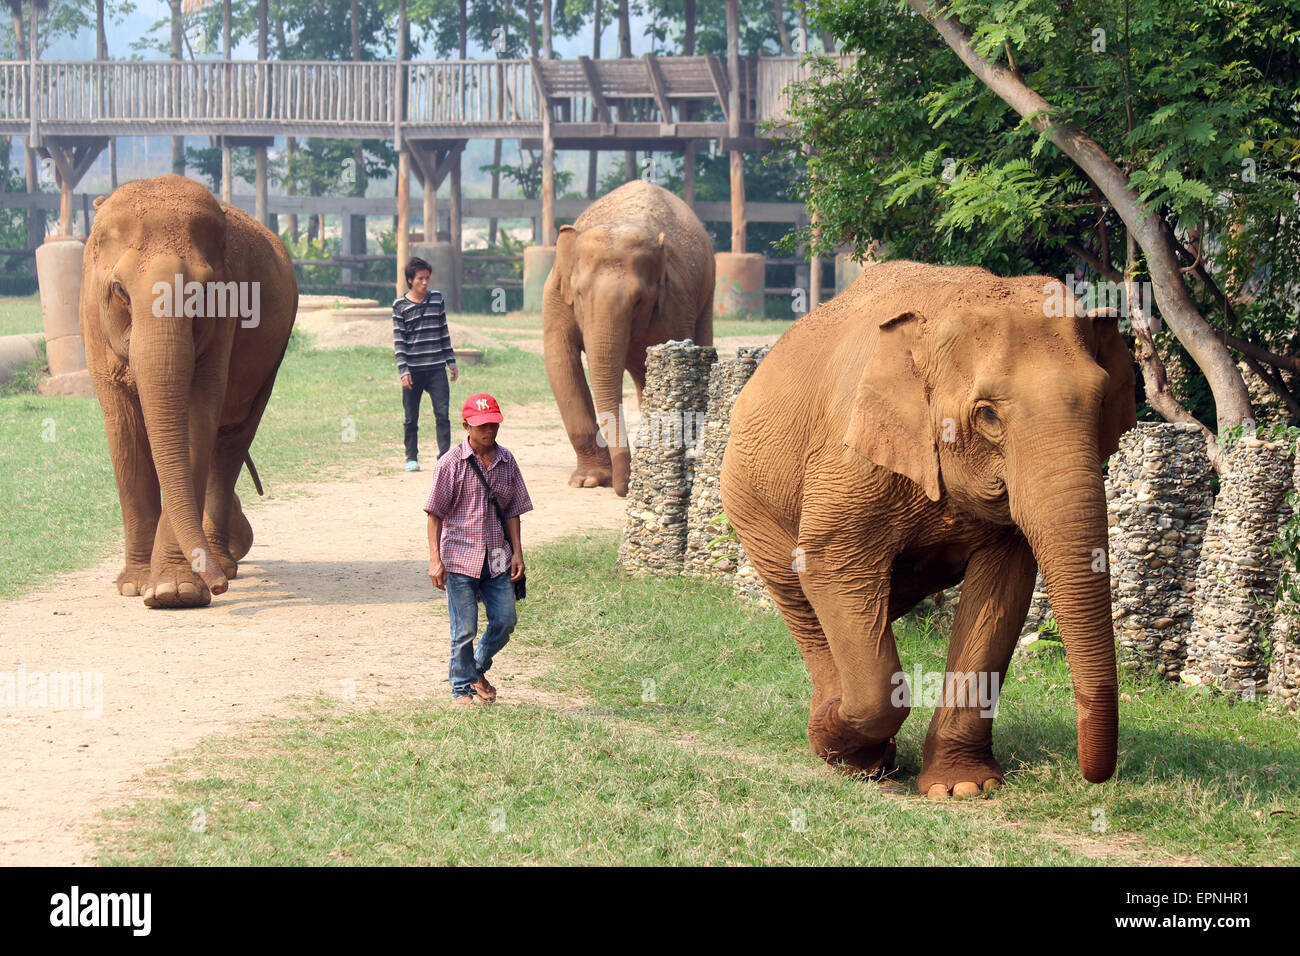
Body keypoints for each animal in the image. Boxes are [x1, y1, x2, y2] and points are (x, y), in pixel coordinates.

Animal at [82, 175, 300, 608]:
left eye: (203, 293)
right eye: (119, 290)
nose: (218, 588)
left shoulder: (227, 312)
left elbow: (197, 419)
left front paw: (173, 592)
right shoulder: (91, 319)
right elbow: (124, 428)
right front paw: (134, 586)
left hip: (274, 356)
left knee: (231, 440)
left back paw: (224, 560)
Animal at [543, 178, 717, 502]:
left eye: (638, 301)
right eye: (580, 293)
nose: (622, 488)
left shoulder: (676, 302)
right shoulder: (555, 296)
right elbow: (560, 359)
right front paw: (588, 481)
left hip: (707, 293)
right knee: (640, 371)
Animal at [722, 257, 1138, 796]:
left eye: (1103, 401)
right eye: (987, 415)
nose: (1094, 778)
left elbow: (1002, 592)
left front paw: (963, 789)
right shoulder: (850, 459)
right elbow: (832, 564)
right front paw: (847, 752)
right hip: (750, 504)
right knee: (801, 600)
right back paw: (845, 741)